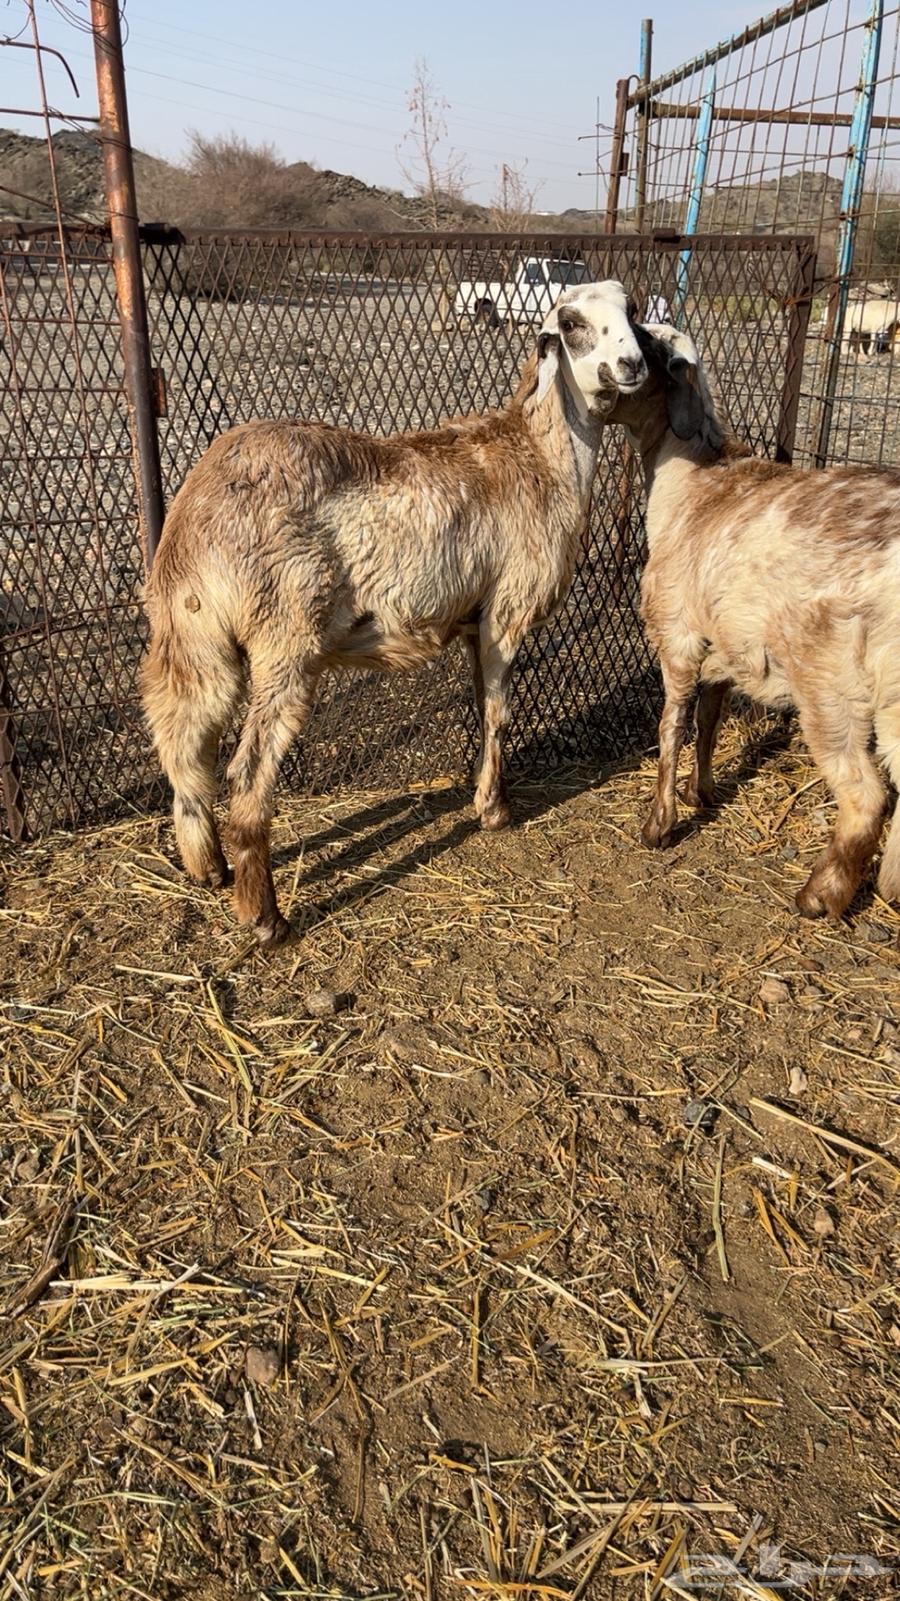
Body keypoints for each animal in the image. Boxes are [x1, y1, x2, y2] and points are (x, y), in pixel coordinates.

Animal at [142, 280, 649, 944]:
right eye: (570, 323)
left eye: (632, 311)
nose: (633, 365)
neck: (541, 457)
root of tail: (193, 517)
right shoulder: (506, 611)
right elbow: (500, 713)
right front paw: (495, 810)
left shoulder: (472, 619)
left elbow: (480, 706)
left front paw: (484, 795)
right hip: (285, 633)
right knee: (248, 773)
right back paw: (265, 918)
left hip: (194, 633)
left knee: (183, 741)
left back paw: (208, 868)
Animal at [602, 314, 900, 920]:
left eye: (640, 343)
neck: (689, 483)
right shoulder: (726, 645)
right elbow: (710, 720)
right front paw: (702, 792)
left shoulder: (678, 635)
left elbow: (672, 725)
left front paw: (660, 824)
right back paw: (891, 888)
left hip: (830, 681)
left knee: (865, 796)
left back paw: (818, 896)